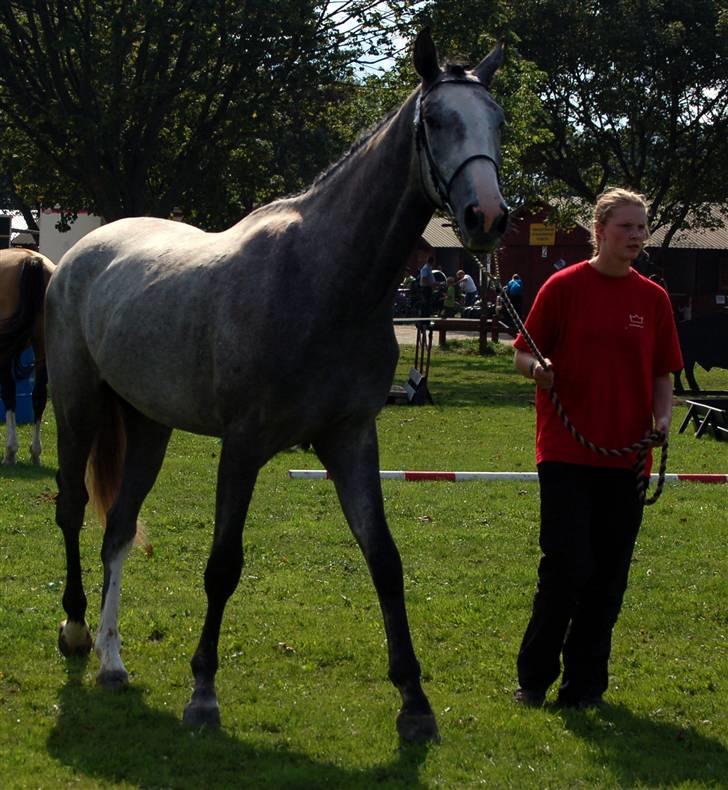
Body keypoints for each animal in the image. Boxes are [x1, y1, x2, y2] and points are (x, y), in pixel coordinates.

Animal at [47, 27, 506, 744]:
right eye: (435, 120)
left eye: (499, 121)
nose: (488, 216)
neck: (325, 281)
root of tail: (78, 257)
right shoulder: (243, 447)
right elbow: (223, 566)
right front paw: (203, 693)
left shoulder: (352, 442)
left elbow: (386, 561)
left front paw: (415, 703)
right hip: (79, 408)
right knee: (71, 508)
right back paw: (74, 629)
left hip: (149, 426)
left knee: (117, 529)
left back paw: (112, 660)